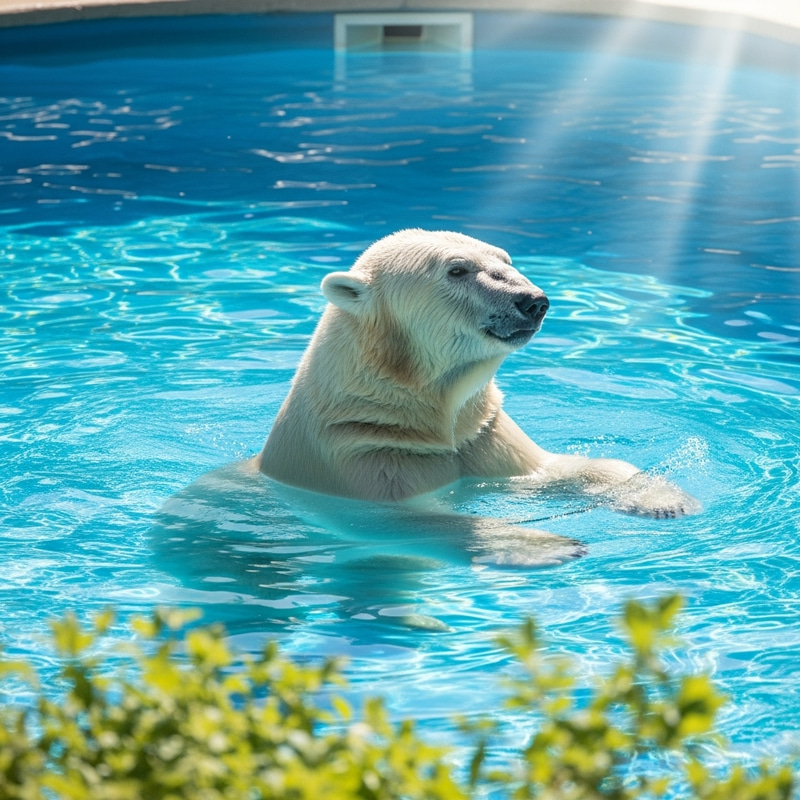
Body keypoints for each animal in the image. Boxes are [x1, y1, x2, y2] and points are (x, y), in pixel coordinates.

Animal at [255, 228, 700, 522]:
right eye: (457, 270)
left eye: (505, 260)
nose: (533, 301)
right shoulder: (370, 460)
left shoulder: (482, 435)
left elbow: (552, 470)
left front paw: (664, 499)